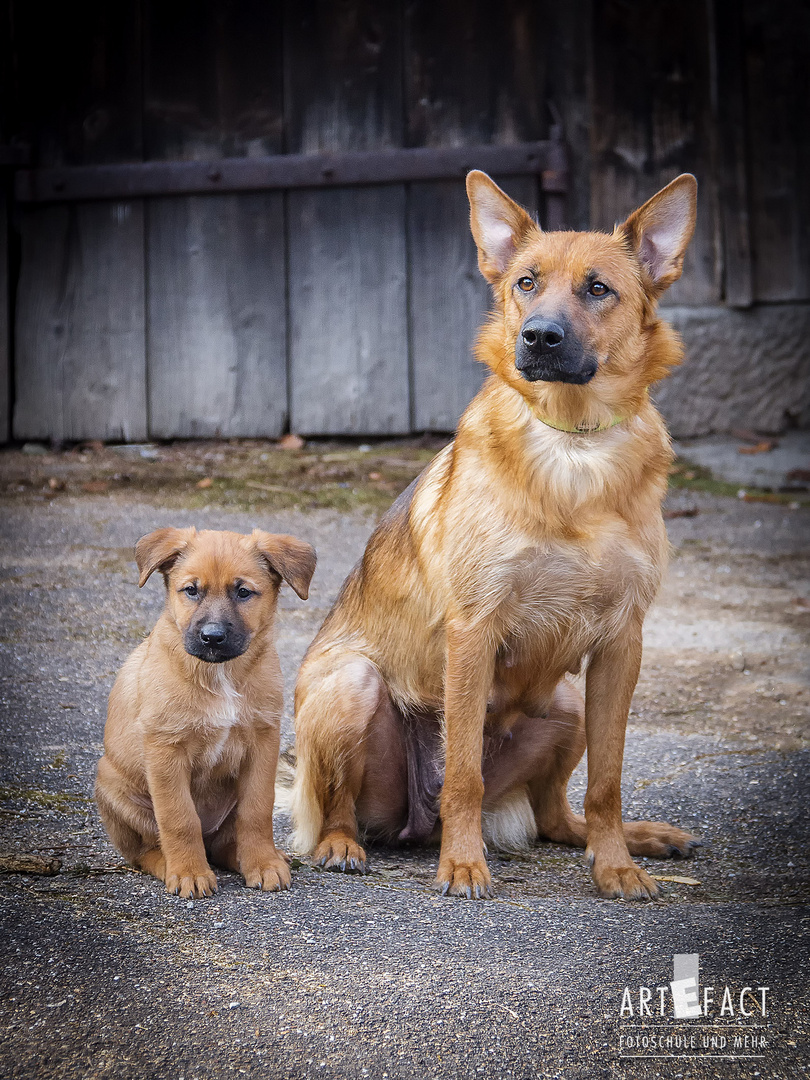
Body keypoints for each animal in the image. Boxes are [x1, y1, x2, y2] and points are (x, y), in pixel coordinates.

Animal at [97, 527, 317, 898]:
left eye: (243, 592)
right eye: (191, 590)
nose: (212, 637)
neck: (221, 674)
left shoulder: (263, 743)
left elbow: (257, 811)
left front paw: (263, 865)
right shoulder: (166, 749)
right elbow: (179, 818)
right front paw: (189, 872)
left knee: (223, 842)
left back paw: (258, 857)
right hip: (112, 785)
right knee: (145, 851)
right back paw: (169, 865)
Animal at [291, 168, 704, 898]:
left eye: (599, 288)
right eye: (526, 282)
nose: (538, 336)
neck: (574, 447)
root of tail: (414, 823)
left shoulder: (622, 644)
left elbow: (607, 782)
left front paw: (616, 866)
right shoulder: (473, 632)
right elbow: (464, 774)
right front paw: (463, 864)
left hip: (566, 704)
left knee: (556, 817)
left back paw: (637, 839)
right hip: (351, 685)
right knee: (342, 806)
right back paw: (347, 844)